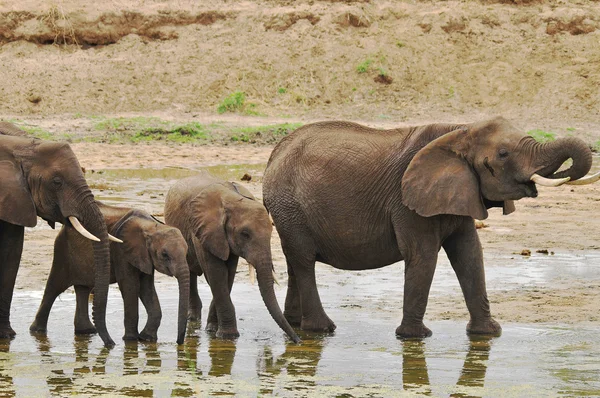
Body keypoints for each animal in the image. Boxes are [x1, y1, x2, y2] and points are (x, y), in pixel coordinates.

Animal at [0, 121, 114, 346]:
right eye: (57, 182)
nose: (111, 344)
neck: (21, 147)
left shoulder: (17, 198)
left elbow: (12, 253)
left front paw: (7, 336)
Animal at [29, 204, 190, 344]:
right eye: (165, 255)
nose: (179, 342)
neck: (151, 226)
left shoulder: (145, 257)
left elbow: (147, 289)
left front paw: (146, 339)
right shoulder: (122, 251)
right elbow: (130, 286)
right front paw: (131, 341)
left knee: (83, 289)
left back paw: (86, 332)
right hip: (62, 250)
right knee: (54, 287)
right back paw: (37, 331)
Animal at [164, 173, 300, 344]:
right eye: (245, 234)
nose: (298, 341)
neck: (231, 199)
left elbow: (228, 274)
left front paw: (212, 330)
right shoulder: (204, 232)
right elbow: (216, 273)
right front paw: (228, 337)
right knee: (191, 272)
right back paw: (192, 319)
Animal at [264, 116, 600, 338]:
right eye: (503, 154)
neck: (460, 131)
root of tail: (273, 156)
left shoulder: (460, 191)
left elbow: (470, 254)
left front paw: (488, 334)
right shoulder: (406, 200)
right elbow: (423, 255)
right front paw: (415, 337)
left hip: (289, 210)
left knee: (295, 262)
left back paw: (295, 324)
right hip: (290, 205)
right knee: (304, 261)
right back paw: (322, 329)